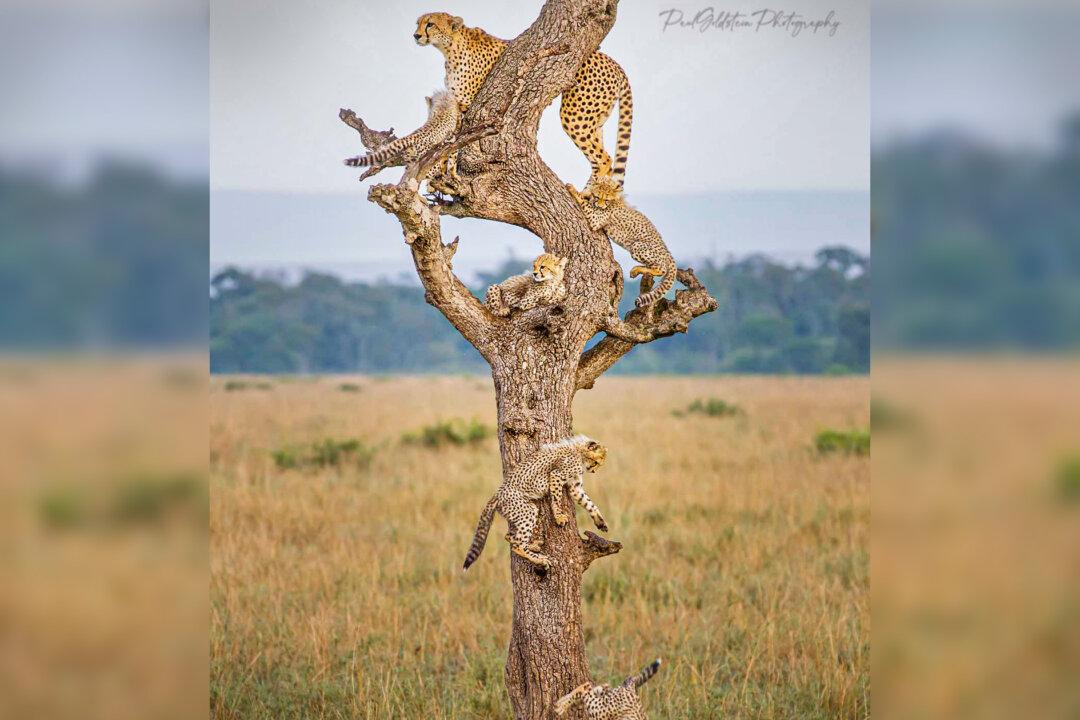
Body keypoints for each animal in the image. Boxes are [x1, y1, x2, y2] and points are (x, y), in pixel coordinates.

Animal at [414, 12, 634, 187]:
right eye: (418, 23)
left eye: (430, 24)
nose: (416, 35)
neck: (449, 48)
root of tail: (614, 63)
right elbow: (448, 142)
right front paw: (443, 173)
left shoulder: (467, 105)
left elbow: (454, 143)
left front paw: (447, 173)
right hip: (595, 118)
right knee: (600, 160)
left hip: (576, 115)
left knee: (604, 159)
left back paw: (584, 198)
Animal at [463, 435, 609, 570]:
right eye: (596, 462)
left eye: (599, 464)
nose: (593, 471)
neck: (579, 450)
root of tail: (496, 495)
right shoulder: (556, 475)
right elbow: (556, 498)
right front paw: (559, 517)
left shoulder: (575, 487)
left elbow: (589, 503)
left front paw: (600, 521)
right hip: (527, 510)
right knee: (517, 544)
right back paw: (540, 559)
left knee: (509, 536)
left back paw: (533, 545)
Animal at [567, 177, 678, 308]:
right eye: (597, 197)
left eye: (606, 200)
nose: (600, 205)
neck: (613, 202)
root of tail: (668, 252)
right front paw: (585, 193)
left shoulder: (596, 219)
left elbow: (585, 203)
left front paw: (573, 190)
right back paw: (636, 270)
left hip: (637, 246)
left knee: (661, 269)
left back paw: (639, 269)